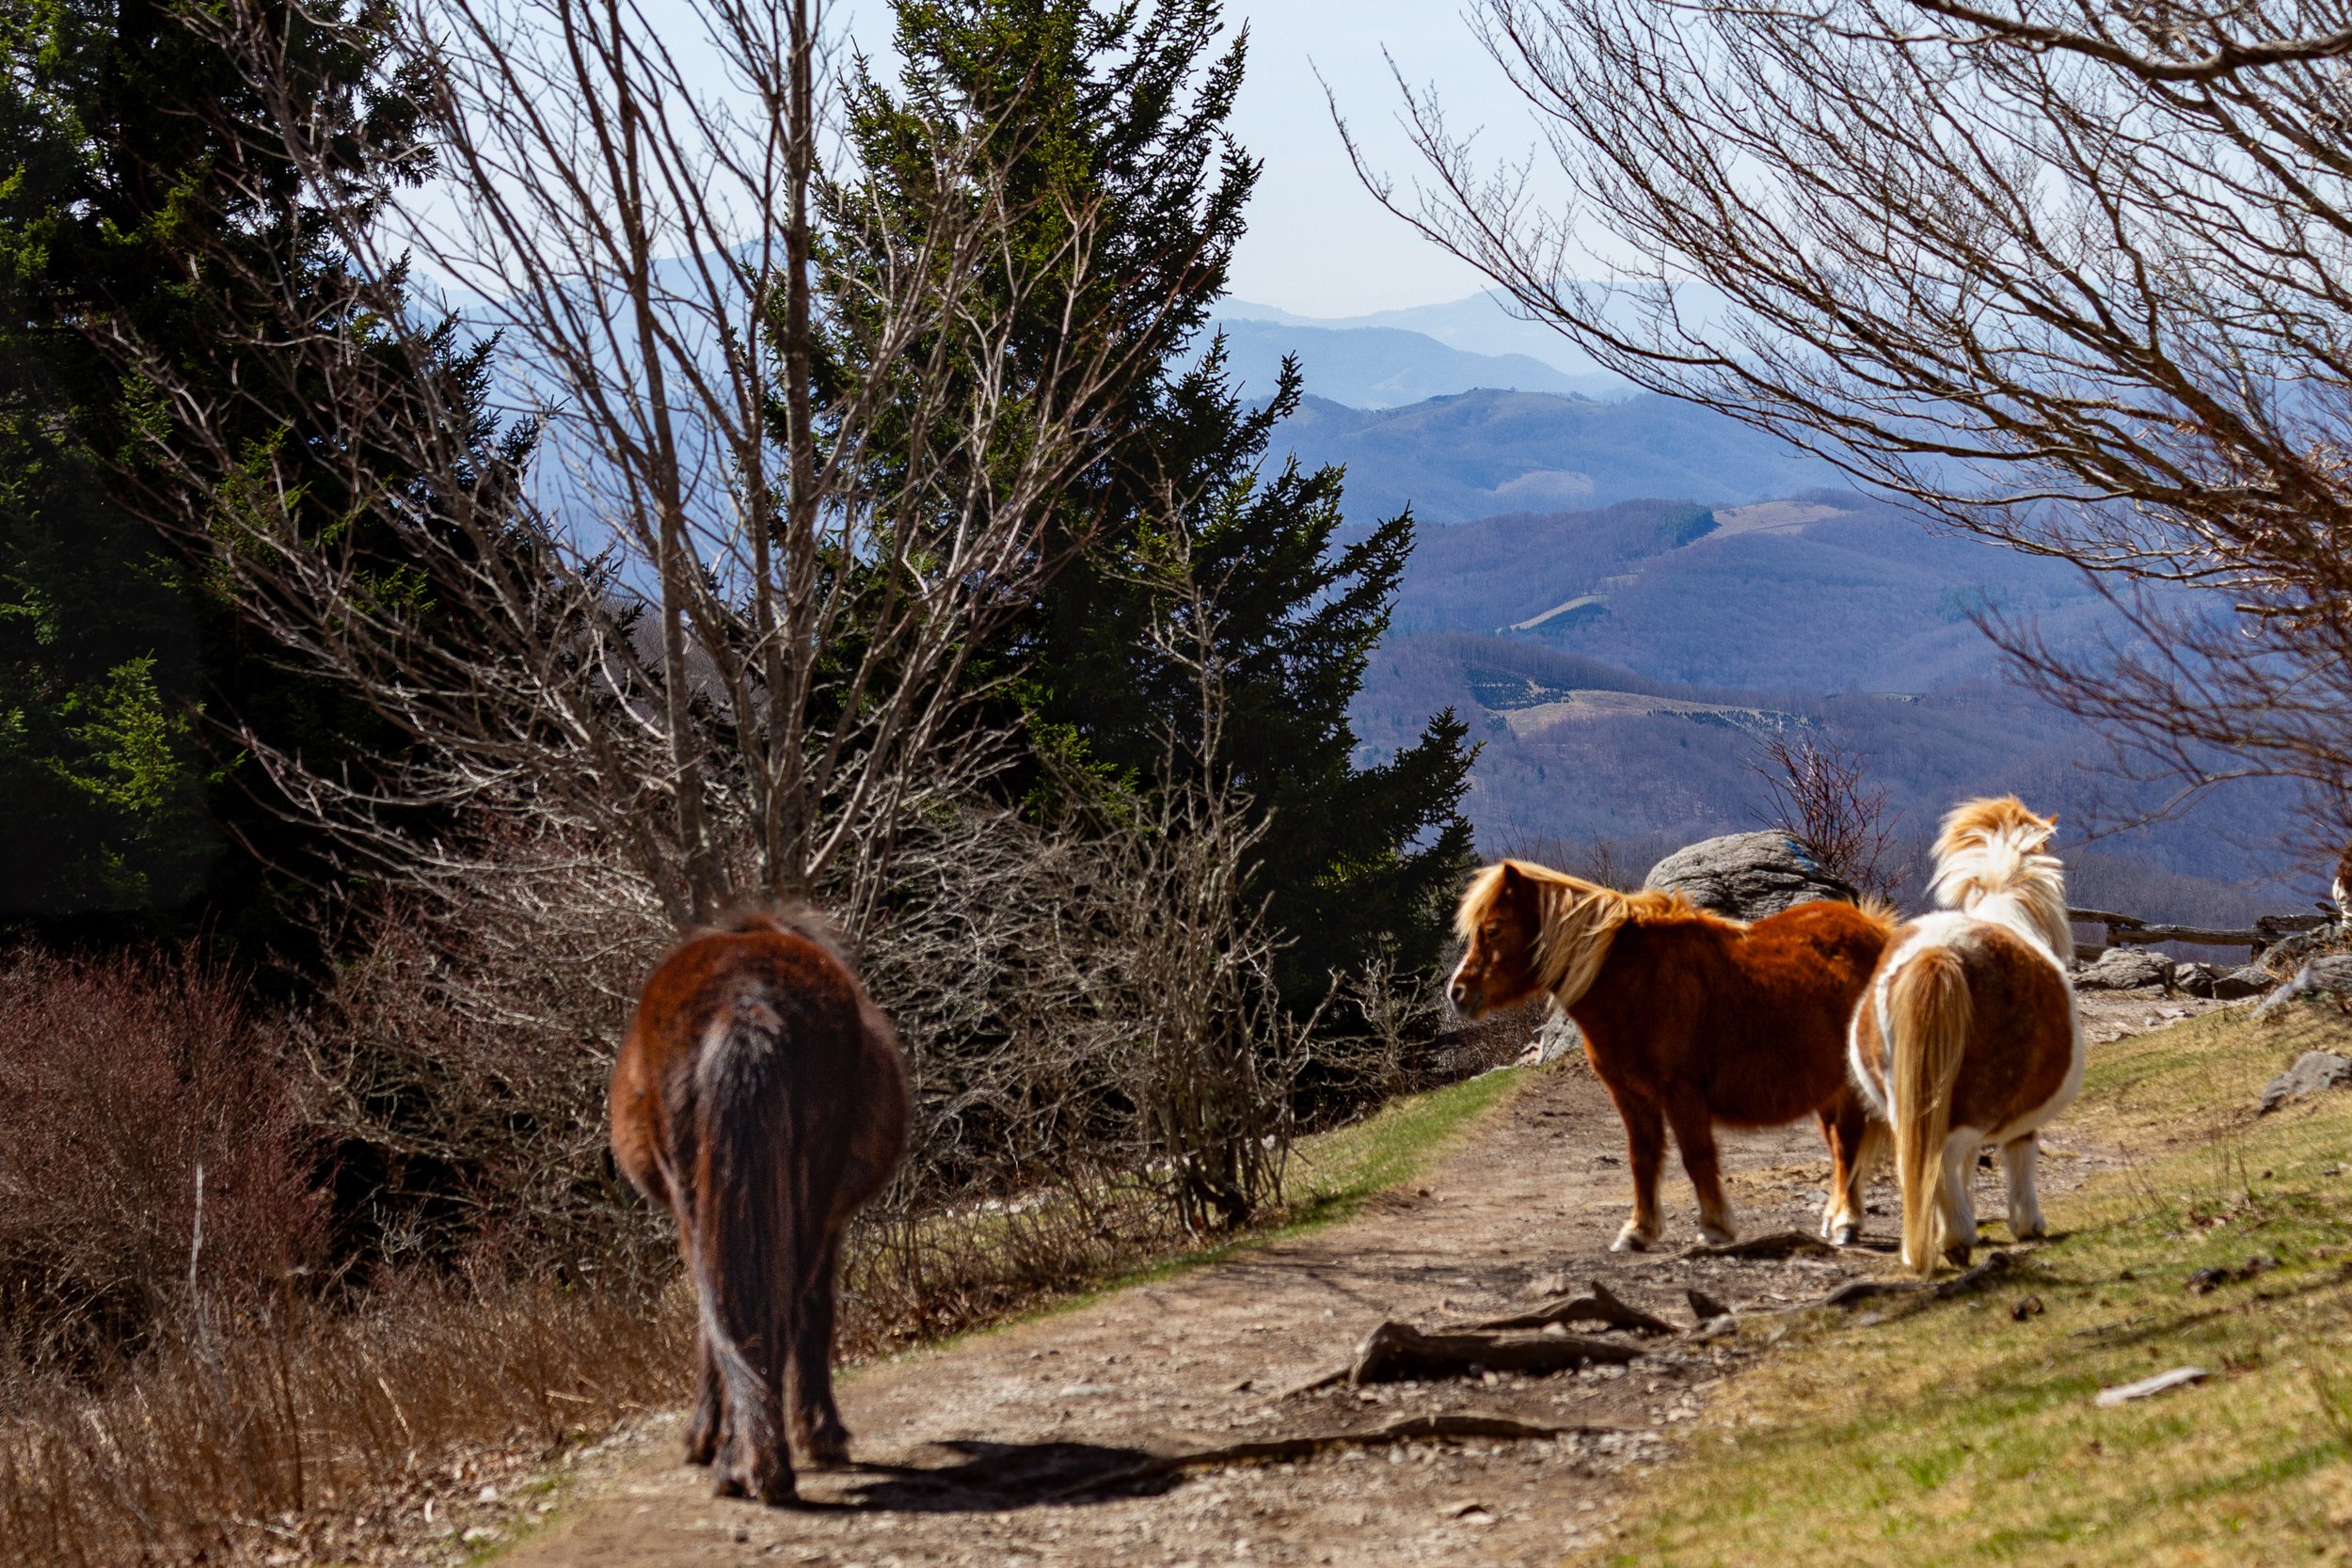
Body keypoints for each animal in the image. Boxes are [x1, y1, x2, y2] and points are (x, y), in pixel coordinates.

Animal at [1449, 861, 1897, 1252]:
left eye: (1493, 929)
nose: (1457, 993)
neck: (1635, 981)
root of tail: (1877, 932)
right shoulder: (1630, 1095)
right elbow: (1642, 1158)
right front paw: (1637, 1232)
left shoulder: (1681, 1092)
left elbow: (1696, 1156)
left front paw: (1714, 1227)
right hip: (1828, 1090)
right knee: (1839, 1147)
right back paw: (1834, 1218)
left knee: (1848, 1144)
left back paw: (1846, 1223)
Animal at [1847, 797, 2078, 1274]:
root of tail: (1939, 954)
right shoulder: (2017, 1110)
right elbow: (2017, 1151)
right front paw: (2028, 1223)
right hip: (1978, 1098)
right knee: (1945, 1155)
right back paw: (1956, 1236)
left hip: (1903, 1098)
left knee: (1916, 1158)